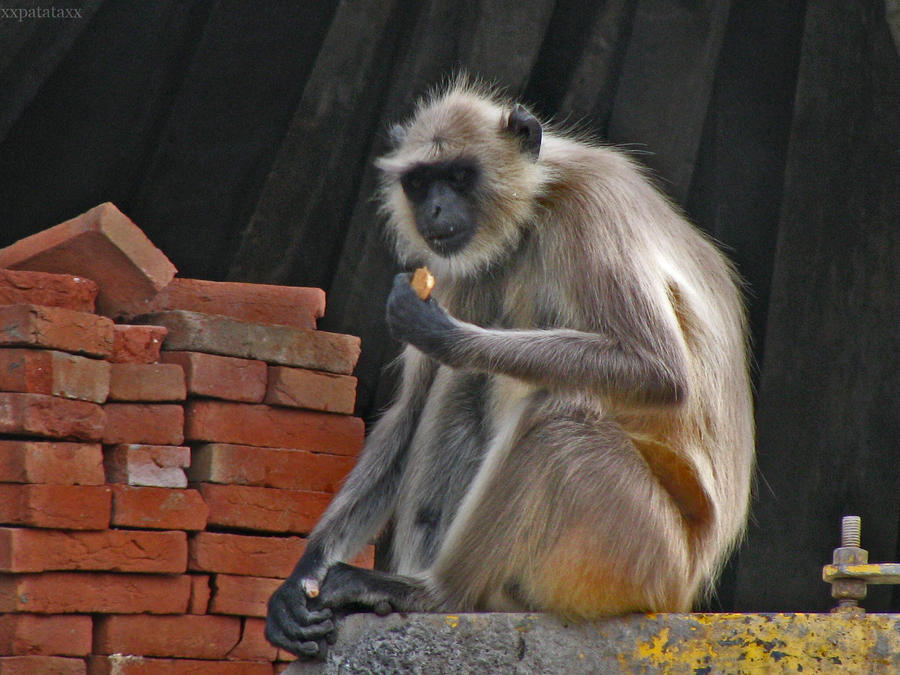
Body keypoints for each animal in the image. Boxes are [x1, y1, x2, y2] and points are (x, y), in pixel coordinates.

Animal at [264, 76, 756, 656]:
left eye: (459, 176)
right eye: (421, 183)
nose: (435, 210)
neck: (533, 210)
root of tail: (689, 583)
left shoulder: (591, 206)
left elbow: (659, 371)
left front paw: (444, 335)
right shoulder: (454, 262)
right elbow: (411, 411)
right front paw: (302, 578)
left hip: (644, 557)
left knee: (556, 419)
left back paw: (437, 594)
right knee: (462, 392)